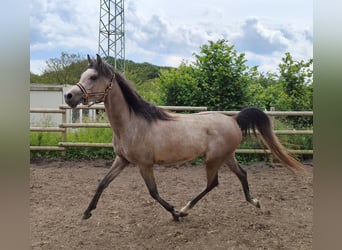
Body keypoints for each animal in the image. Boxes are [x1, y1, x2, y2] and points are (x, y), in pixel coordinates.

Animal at [65, 54, 304, 221]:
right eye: (82, 76)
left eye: (93, 77)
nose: (69, 96)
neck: (132, 123)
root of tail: (234, 119)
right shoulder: (122, 160)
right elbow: (102, 183)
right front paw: (87, 212)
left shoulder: (144, 164)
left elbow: (153, 192)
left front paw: (174, 213)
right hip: (227, 156)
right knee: (242, 174)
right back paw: (254, 202)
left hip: (213, 159)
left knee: (213, 183)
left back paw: (185, 209)